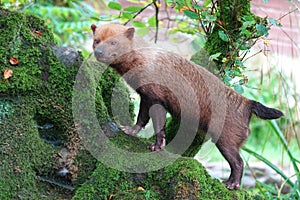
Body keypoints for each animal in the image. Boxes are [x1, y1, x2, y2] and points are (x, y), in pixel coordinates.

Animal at [90, 23, 282, 189]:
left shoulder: (157, 97)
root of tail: (248, 103)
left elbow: (158, 124)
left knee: (239, 162)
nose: (98, 52)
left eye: (114, 42)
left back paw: (231, 184)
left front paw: (156, 146)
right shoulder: (146, 96)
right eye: (96, 39)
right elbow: (142, 118)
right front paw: (129, 130)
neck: (146, 59)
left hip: (226, 139)